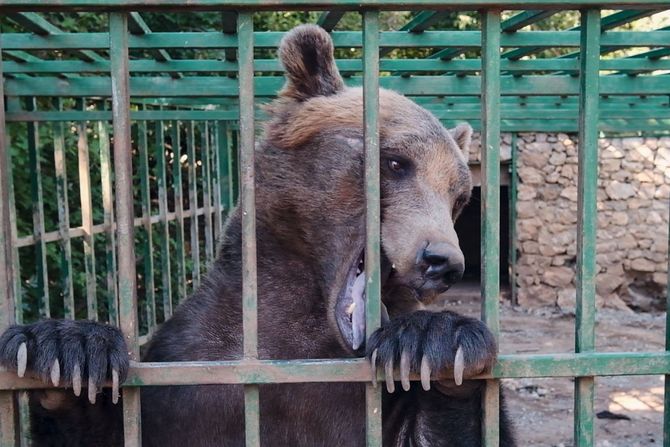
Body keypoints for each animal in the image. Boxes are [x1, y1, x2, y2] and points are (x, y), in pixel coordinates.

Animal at [0, 25, 516, 447]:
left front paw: (436, 339)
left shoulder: (374, 405)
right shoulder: (190, 367)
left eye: (458, 196)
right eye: (395, 162)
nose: (443, 261)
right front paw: (64, 348)